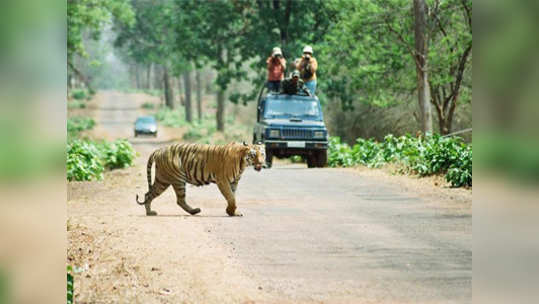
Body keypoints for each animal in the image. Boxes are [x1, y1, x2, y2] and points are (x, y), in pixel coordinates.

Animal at [136, 142, 264, 216]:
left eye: (262, 154)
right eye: (253, 155)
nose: (262, 163)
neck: (243, 163)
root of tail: (159, 150)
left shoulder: (234, 182)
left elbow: (232, 197)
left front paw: (232, 212)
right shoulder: (223, 180)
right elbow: (231, 197)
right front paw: (231, 211)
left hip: (162, 180)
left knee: (148, 194)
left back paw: (149, 212)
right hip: (177, 179)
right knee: (179, 200)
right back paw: (194, 211)